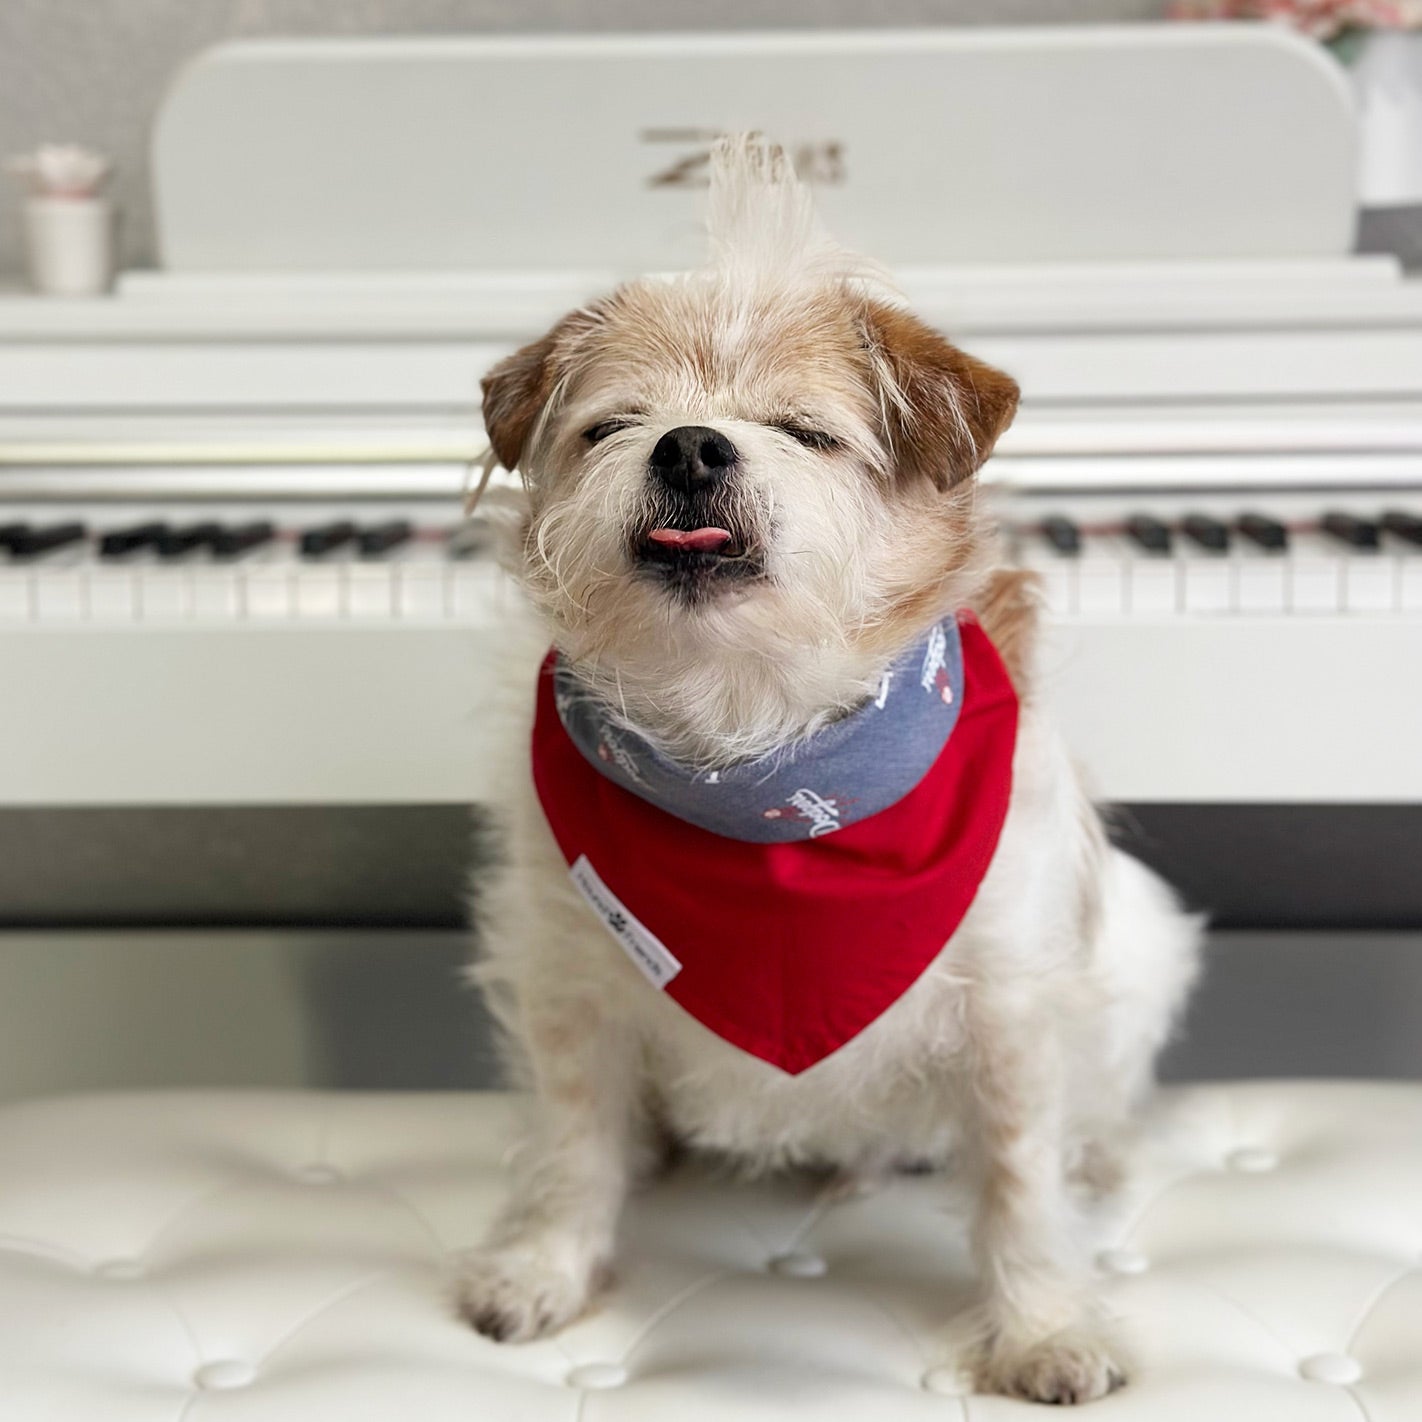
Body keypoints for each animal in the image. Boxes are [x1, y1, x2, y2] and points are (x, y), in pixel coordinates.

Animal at [457, 138, 1200, 1404]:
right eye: (614, 425)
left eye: (802, 431)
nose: (691, 442)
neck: (750, 747)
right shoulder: (568, 980)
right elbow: (570, 1142)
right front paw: (546, 1269)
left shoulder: (1007, 1009)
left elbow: (1020, 1183)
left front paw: (1043, 1327)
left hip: (1142, 940)